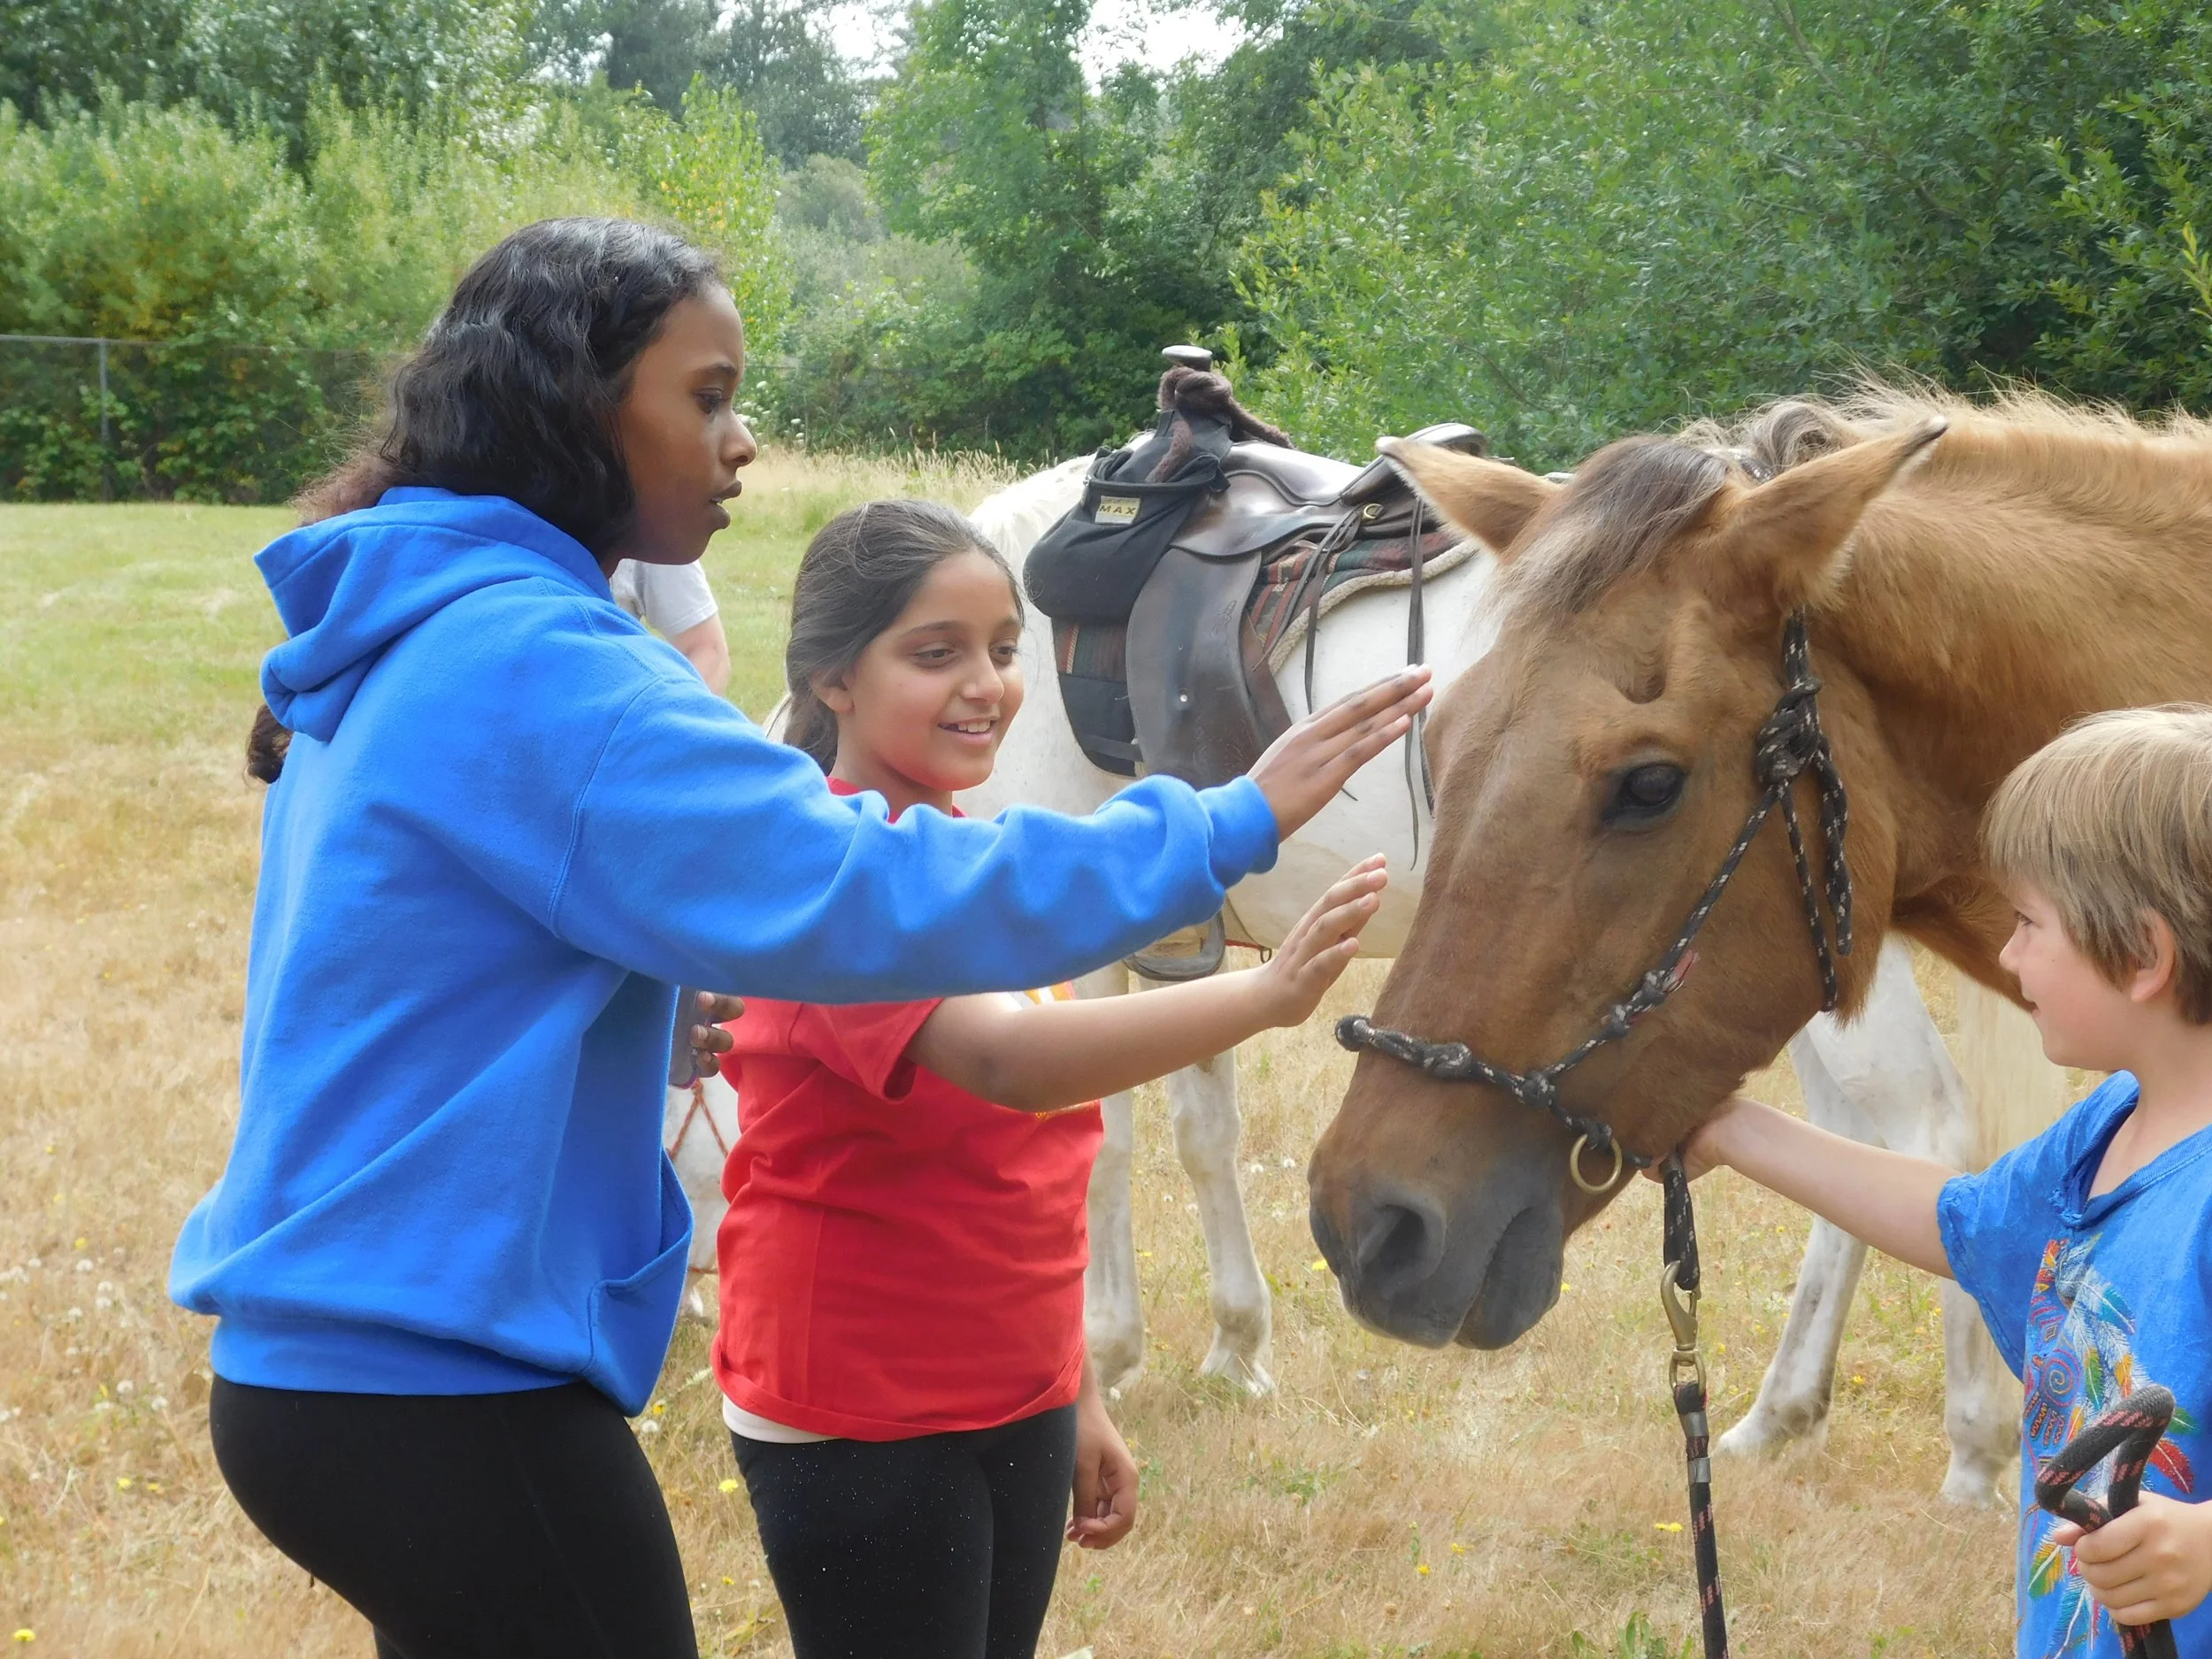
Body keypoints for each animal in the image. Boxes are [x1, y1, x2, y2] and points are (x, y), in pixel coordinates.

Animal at [670, 434, 2063, 1501]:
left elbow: (1100, 1143)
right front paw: (1236, 1345)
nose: (700, 1322)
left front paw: (1104, 1351)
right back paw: (1782, 1413)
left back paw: (1973, 1448)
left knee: (1925, 1133)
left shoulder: (1075, 936)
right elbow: (1201, 1130)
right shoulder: (1180, 946)